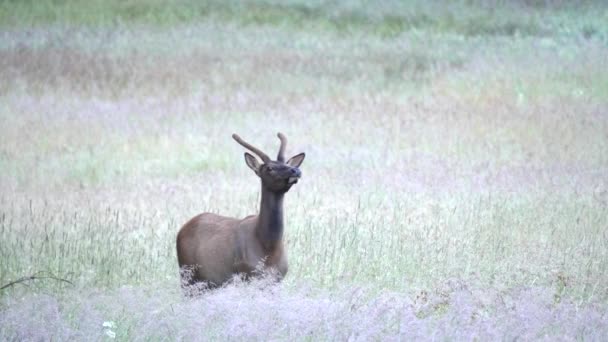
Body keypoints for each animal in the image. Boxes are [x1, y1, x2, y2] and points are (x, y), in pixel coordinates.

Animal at [178, 132, 306, 288]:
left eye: (287, 164)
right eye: (269, 168)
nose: (296, 170)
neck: (268, 246)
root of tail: (182, 229)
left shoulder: (277, 277)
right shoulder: (245, 273)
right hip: (187, 274)